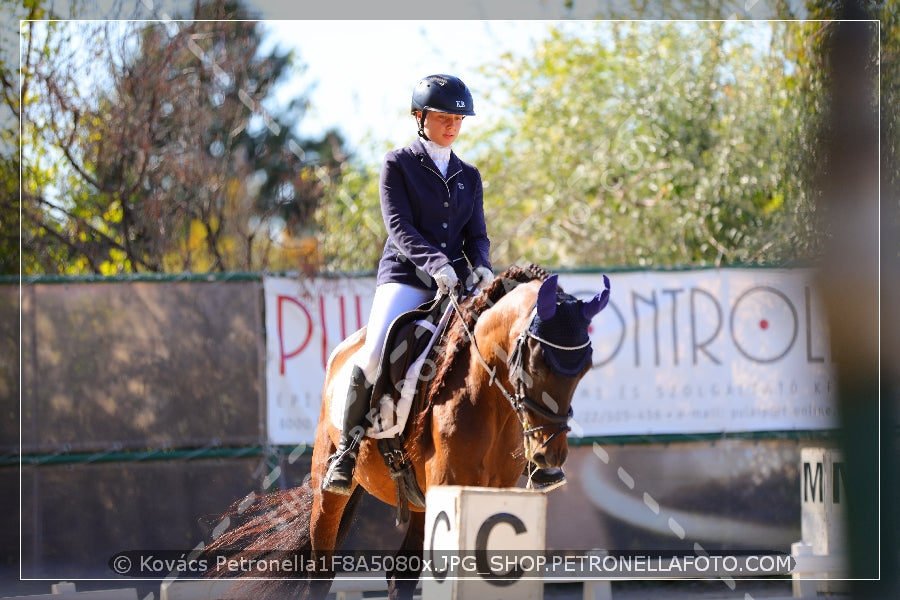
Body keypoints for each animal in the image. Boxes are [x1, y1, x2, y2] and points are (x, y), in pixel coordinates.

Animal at [204, 264, 612, 596]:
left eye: (585, 367)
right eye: (536, 363)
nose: (549, 456)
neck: (487, 396)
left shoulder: (490, 494)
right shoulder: (450, 482)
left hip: (420, 503)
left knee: (401, 576)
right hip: (329, 487)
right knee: (320, 573)